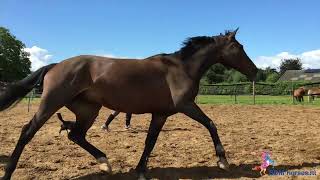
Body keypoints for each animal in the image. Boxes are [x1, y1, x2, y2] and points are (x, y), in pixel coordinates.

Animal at [0, 28, 258, 179]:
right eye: (239, 47)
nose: (255, 71)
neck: (182, 68)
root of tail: (54, 65)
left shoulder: (161, 114)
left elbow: (150, 141)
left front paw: (141, 170)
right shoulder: (185, 105)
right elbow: (211, 124)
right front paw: (223, 161)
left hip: (88, 110)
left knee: (76, 135)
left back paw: (105, 163)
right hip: (52, 103)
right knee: (27, 131)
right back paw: (8, 173)